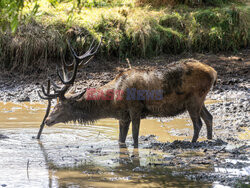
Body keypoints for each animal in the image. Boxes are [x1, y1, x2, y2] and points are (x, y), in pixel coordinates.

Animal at [38, 35, 217, 147]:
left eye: (59, 106)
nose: (47, 120)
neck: (113, 101)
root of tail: (213, 72)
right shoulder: (122, 116)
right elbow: (121, 140)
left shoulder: (135, 108)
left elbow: (135, 138)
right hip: (199, 100)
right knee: (209, 117)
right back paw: (209, 140)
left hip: (194, 99)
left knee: (198, 124)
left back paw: (193, 143)